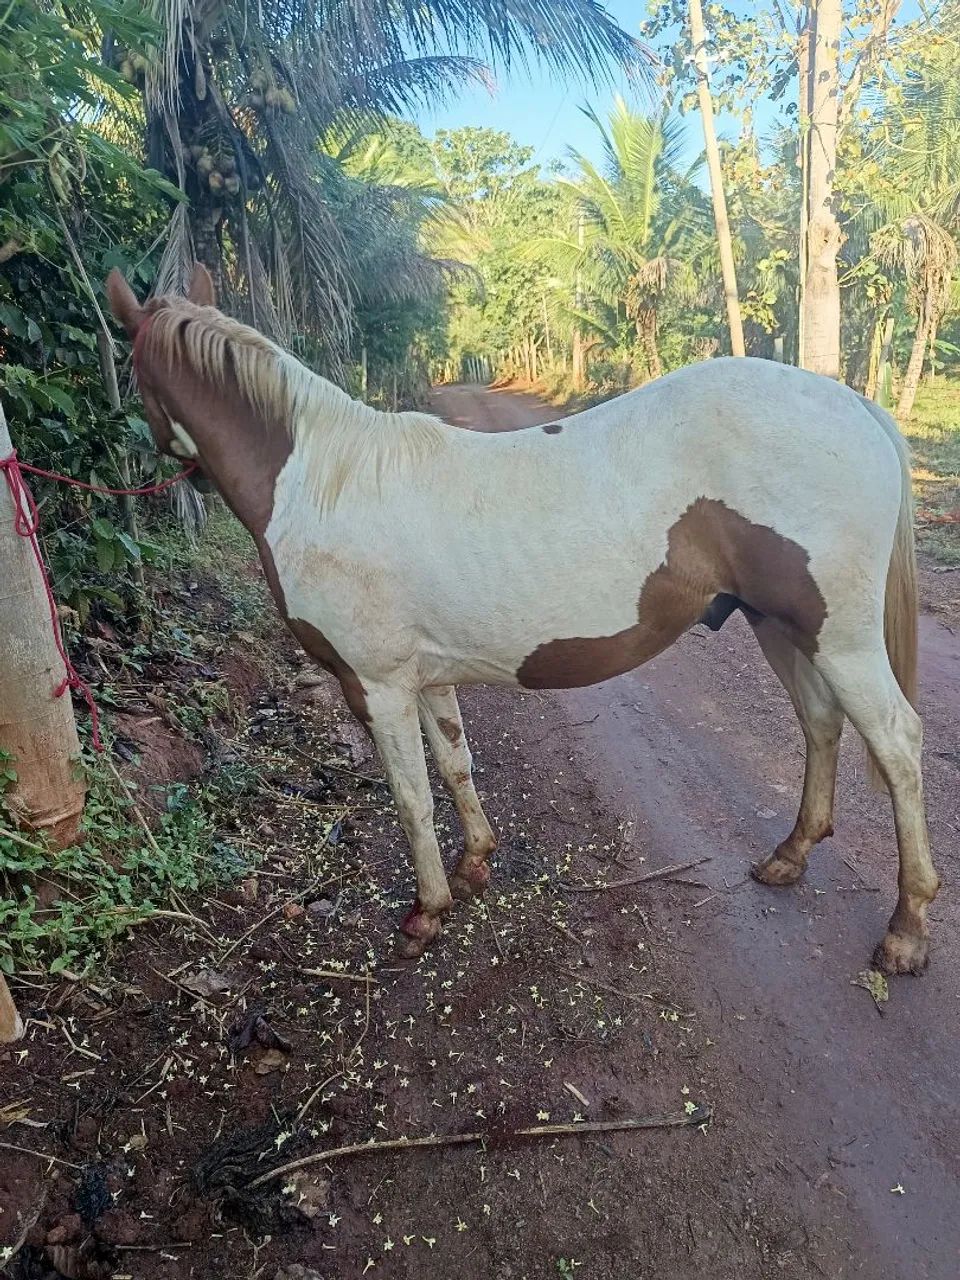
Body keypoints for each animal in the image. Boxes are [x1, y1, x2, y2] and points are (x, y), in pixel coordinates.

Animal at [106, 265, 939, 976]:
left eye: (133, 367)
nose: (146, 462)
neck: (321, 483)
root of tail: (852, 403)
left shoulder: (375, 685)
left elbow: (411, 798)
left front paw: (427, 912)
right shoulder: (424, 677)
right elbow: (455, 764)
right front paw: (475, 863)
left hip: (840, 637)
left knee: (896, 743)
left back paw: (906, 930)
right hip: (780, 625)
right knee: (822, 724)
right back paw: (790, 856)